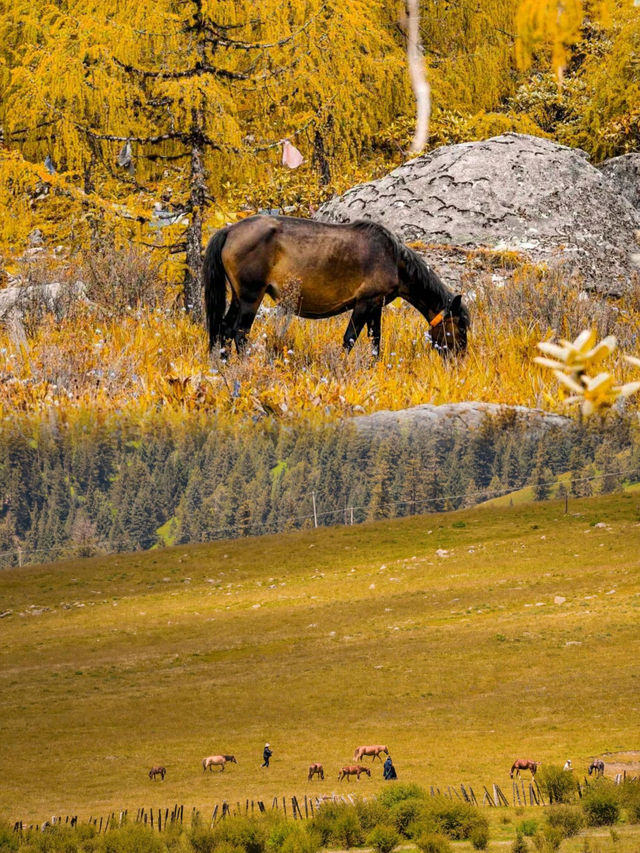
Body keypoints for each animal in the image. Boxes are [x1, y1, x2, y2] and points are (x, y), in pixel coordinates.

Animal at [205, 216, 470, 360]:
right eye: (460, 327)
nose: (459, 359)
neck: (393, 258)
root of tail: (229, 230)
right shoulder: (364, 302)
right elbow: (350, 339)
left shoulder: (376, 305)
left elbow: (376, 340)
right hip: (251, 297)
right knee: (239, 333)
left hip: (238, 297)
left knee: (224, 329)